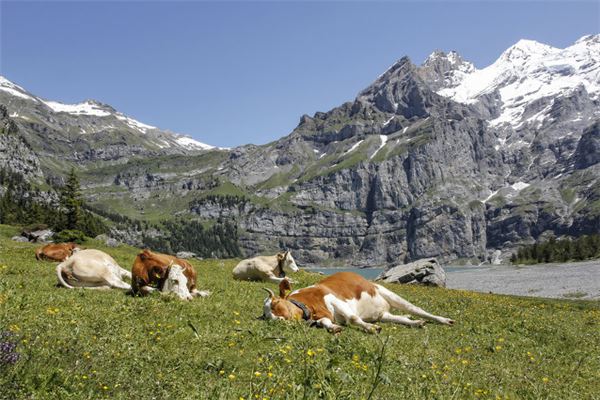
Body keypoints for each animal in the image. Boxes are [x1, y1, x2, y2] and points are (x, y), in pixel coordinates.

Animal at [260, 272, 452, 334]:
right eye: (266, 316)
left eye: (275, 304)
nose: (278, 321)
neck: (311, 305)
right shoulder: (323, 314)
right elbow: (326, 322)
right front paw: (333, 327)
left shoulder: (335, 300)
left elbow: (352, 318)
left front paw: (371, 328)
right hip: (382, 314)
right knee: (401, 318)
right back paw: (416, 323)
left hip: (387, 292)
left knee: (416, 309)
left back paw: (443, 320)